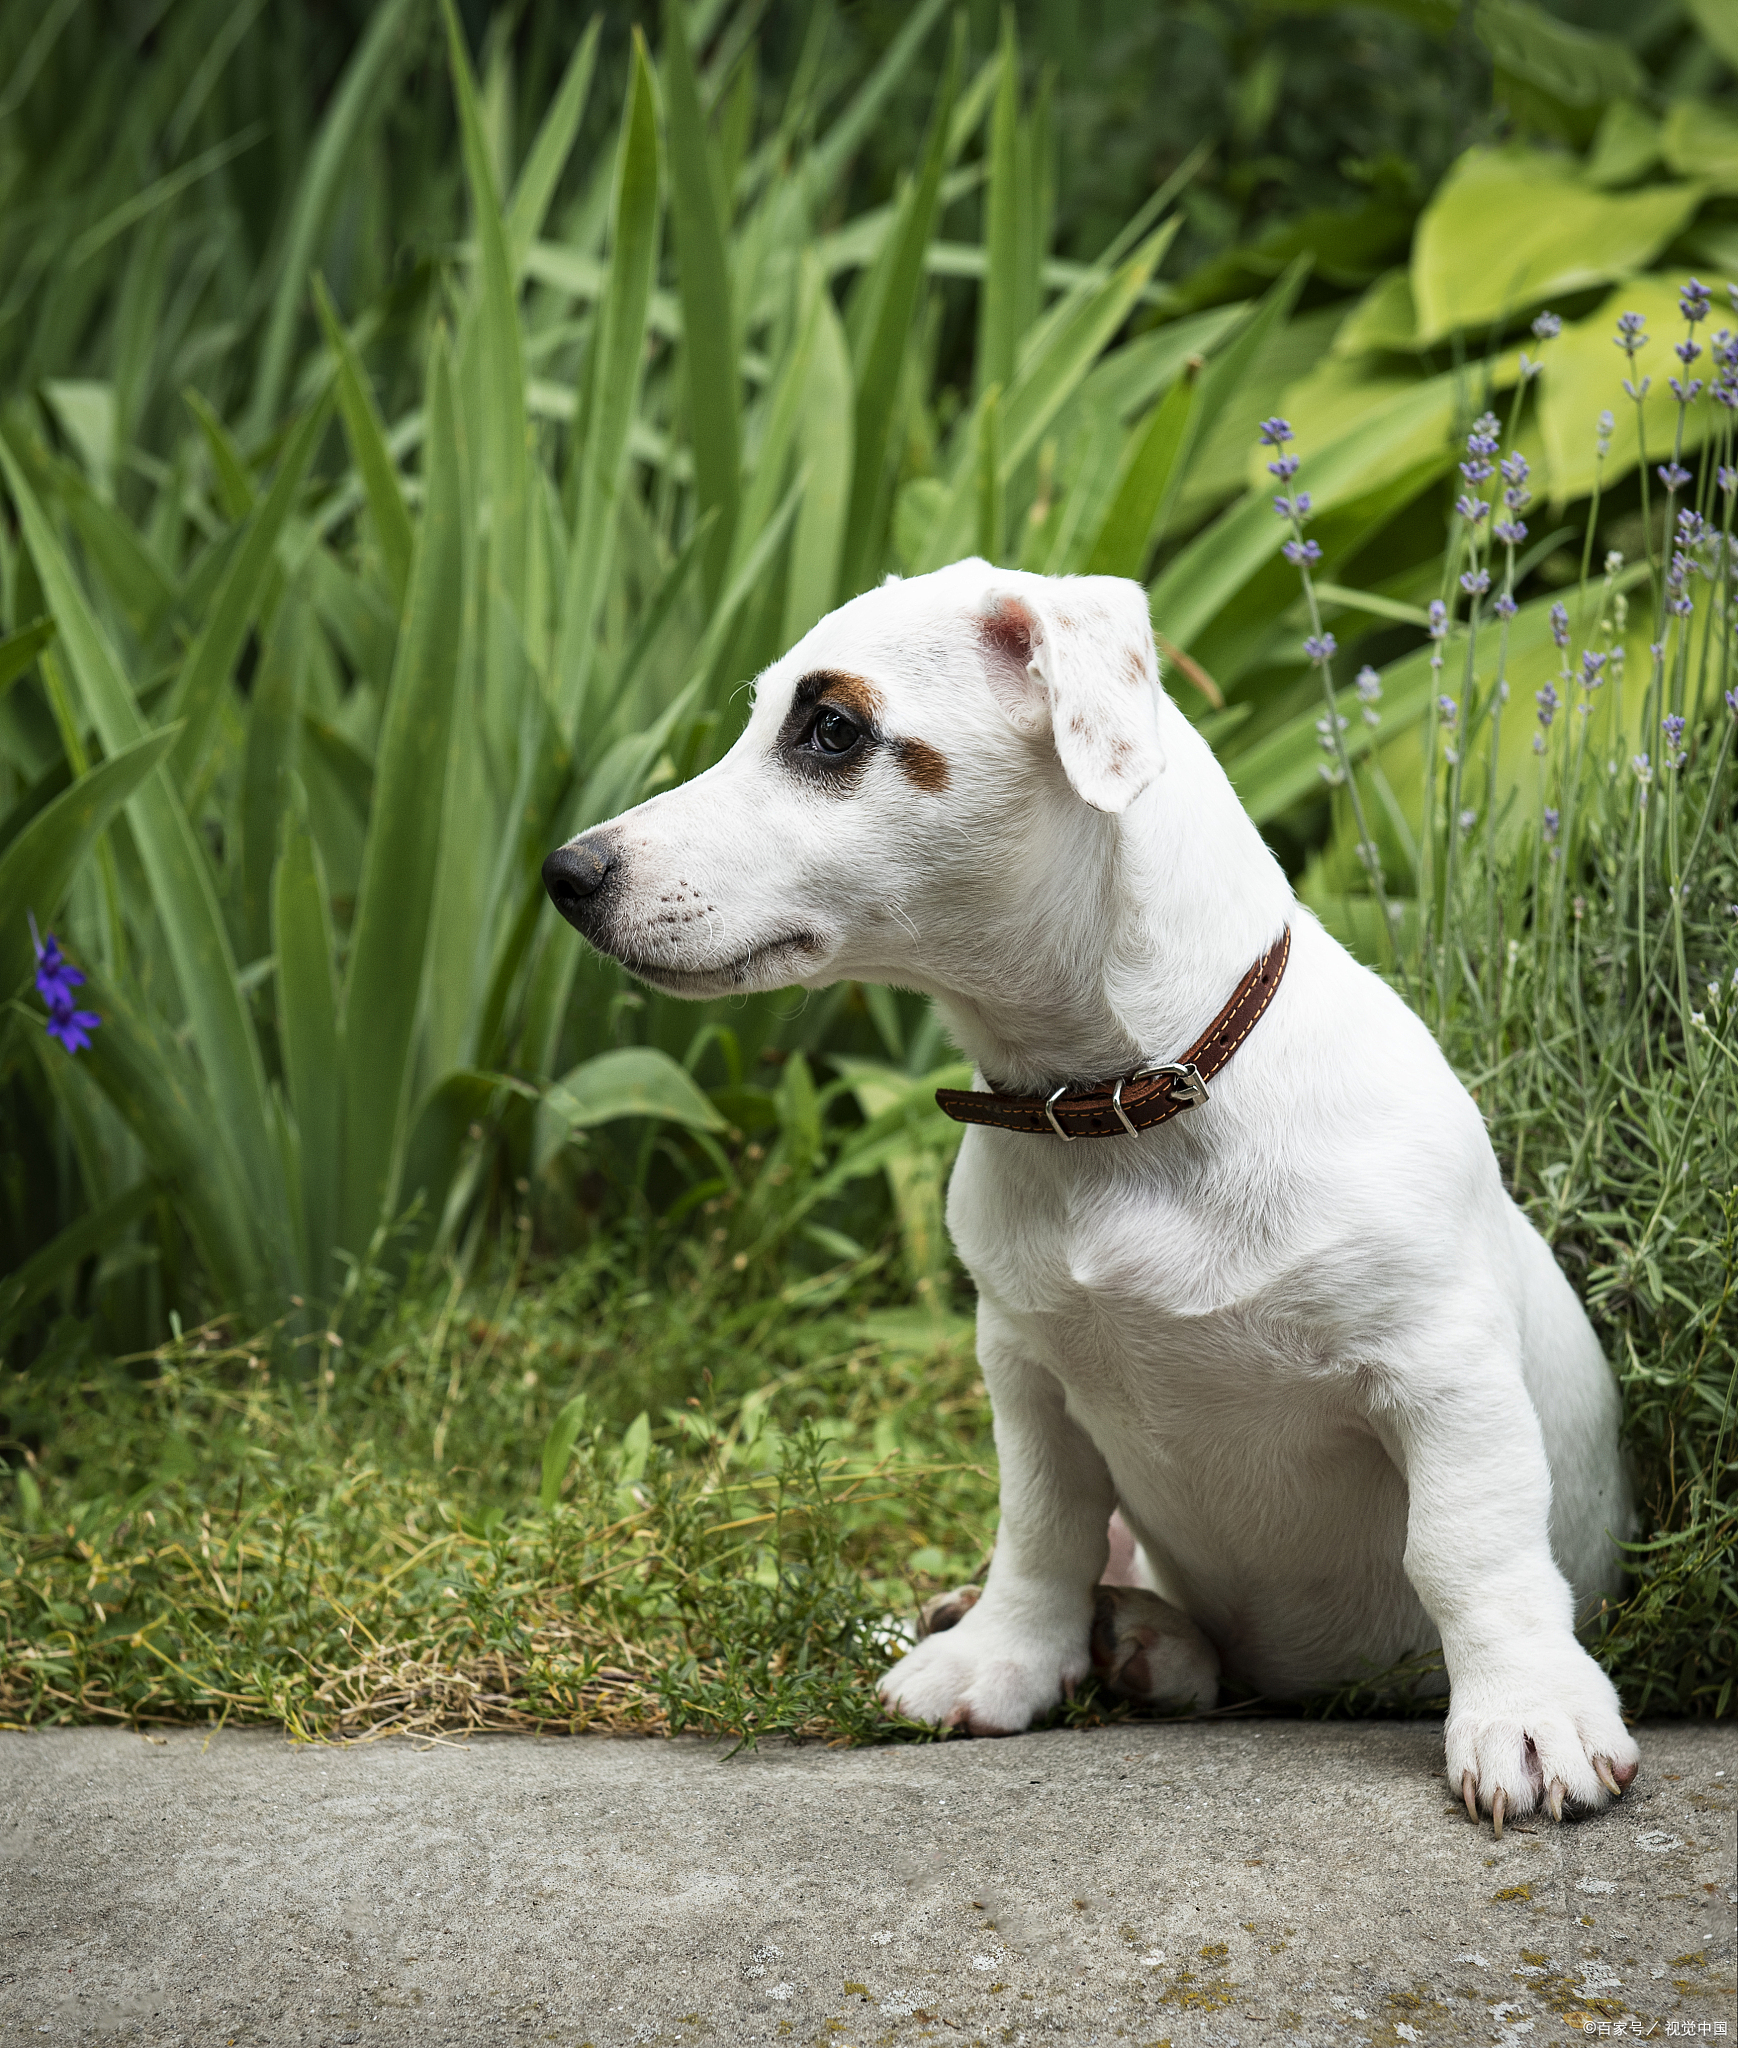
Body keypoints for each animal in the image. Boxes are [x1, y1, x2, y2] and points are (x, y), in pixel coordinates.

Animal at [544, 557, 1637, 1826]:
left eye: (831, 730)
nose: (567, 874)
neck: (1119, 1108)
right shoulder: (1028, 1373)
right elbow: (1043, 1530)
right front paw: (1002, 1654)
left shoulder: (1443, 1373)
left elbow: (1469, 1546)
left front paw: (1528, 1710)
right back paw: (1116, 1634)